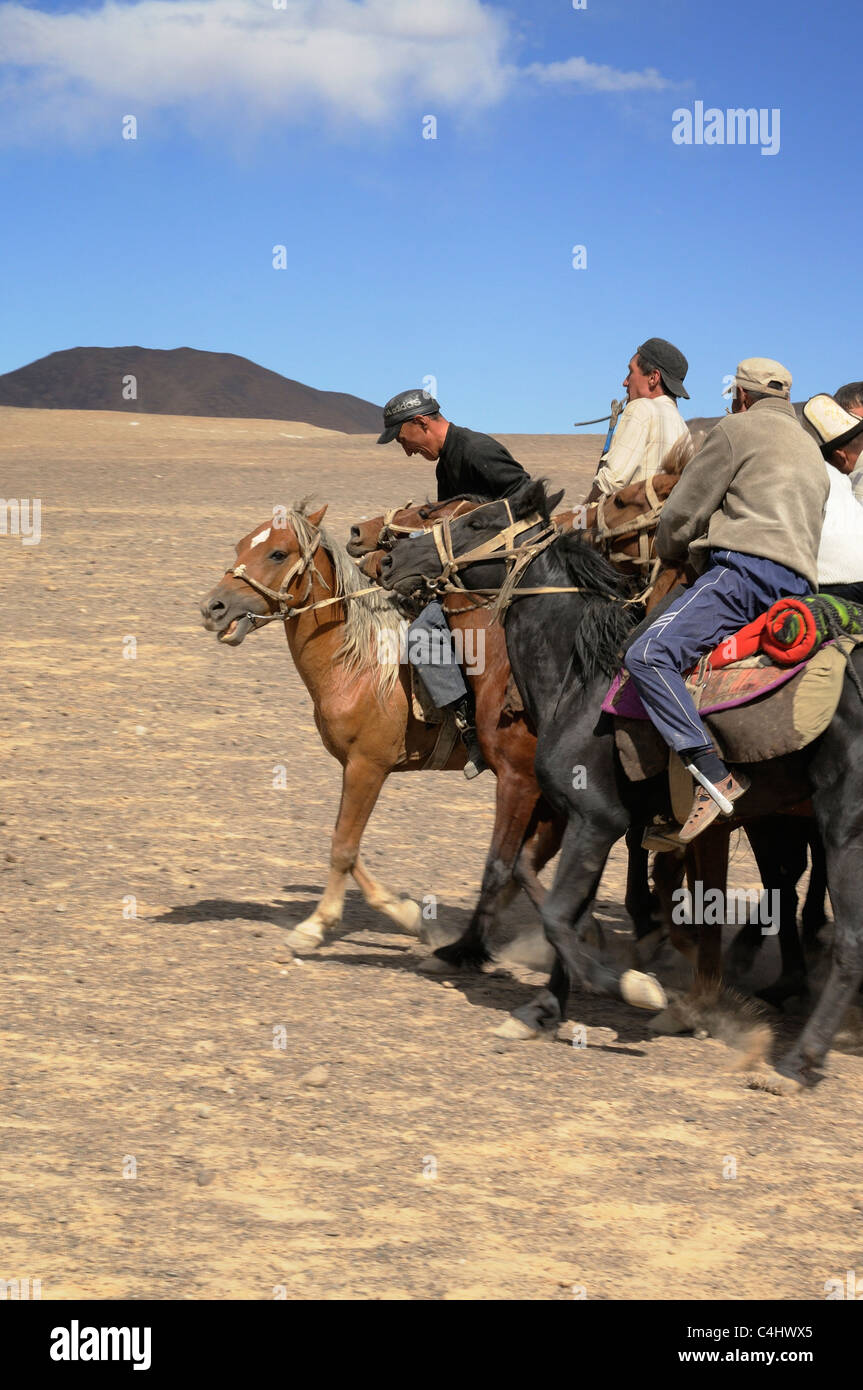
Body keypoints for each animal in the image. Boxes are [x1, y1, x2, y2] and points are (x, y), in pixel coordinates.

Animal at [383, 478, 861, 1084]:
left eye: (477, 522)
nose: (392, 559)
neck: (578, 677)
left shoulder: (596, 818)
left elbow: (557, 914)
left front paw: (638, 990)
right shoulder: (589, 820)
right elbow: (548, 894)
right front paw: (543, 1008)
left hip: (841, 826)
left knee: (846, 937)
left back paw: (795, 1062)